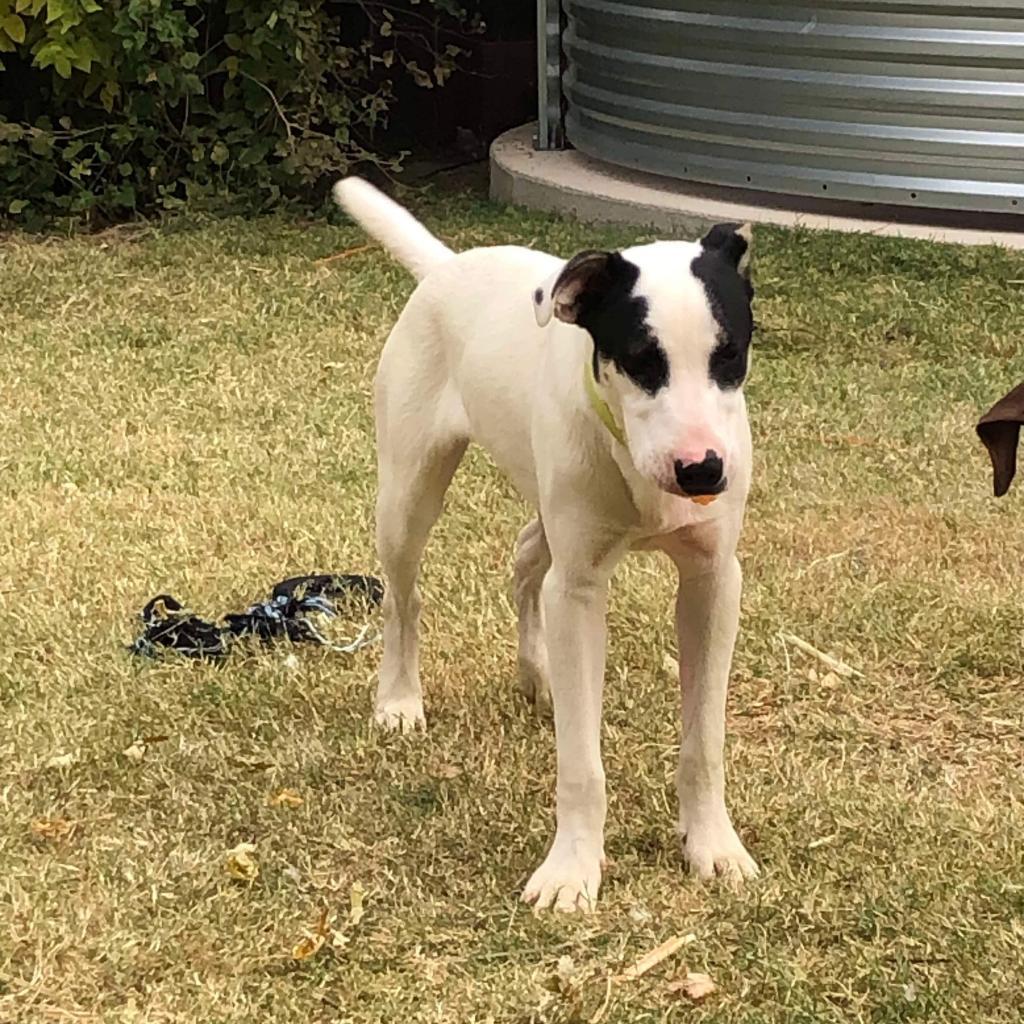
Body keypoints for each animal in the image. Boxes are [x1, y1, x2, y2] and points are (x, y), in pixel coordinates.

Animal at [331, 176, 757, 913]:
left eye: (729, 354)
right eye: (640, 361)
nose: (701, 470)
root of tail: (448, 266)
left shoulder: (711, 581)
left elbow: (703, 742)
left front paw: (712, 845)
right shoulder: (582, 588)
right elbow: (581, 765)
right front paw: (571, 870)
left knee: (528, 556)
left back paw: (540, 673)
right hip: (408, 494)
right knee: (402, 599)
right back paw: (400, 699)